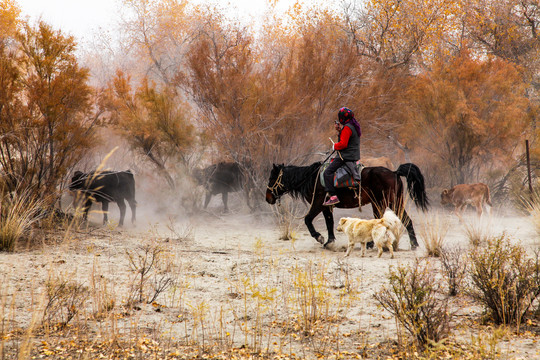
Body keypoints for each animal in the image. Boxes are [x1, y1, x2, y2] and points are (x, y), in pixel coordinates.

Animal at [266, 162, 430, 249]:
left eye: (272, 178)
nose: (268, 198)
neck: (312, 179)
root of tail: (394, 172)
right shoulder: (326, 206)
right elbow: (329, 223)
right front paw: (329, 241)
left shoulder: (318, 204)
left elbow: (307, 220)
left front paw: (319, 237)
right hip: (392, 203)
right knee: (405, 221)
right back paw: (412, 244)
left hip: (384, 203)